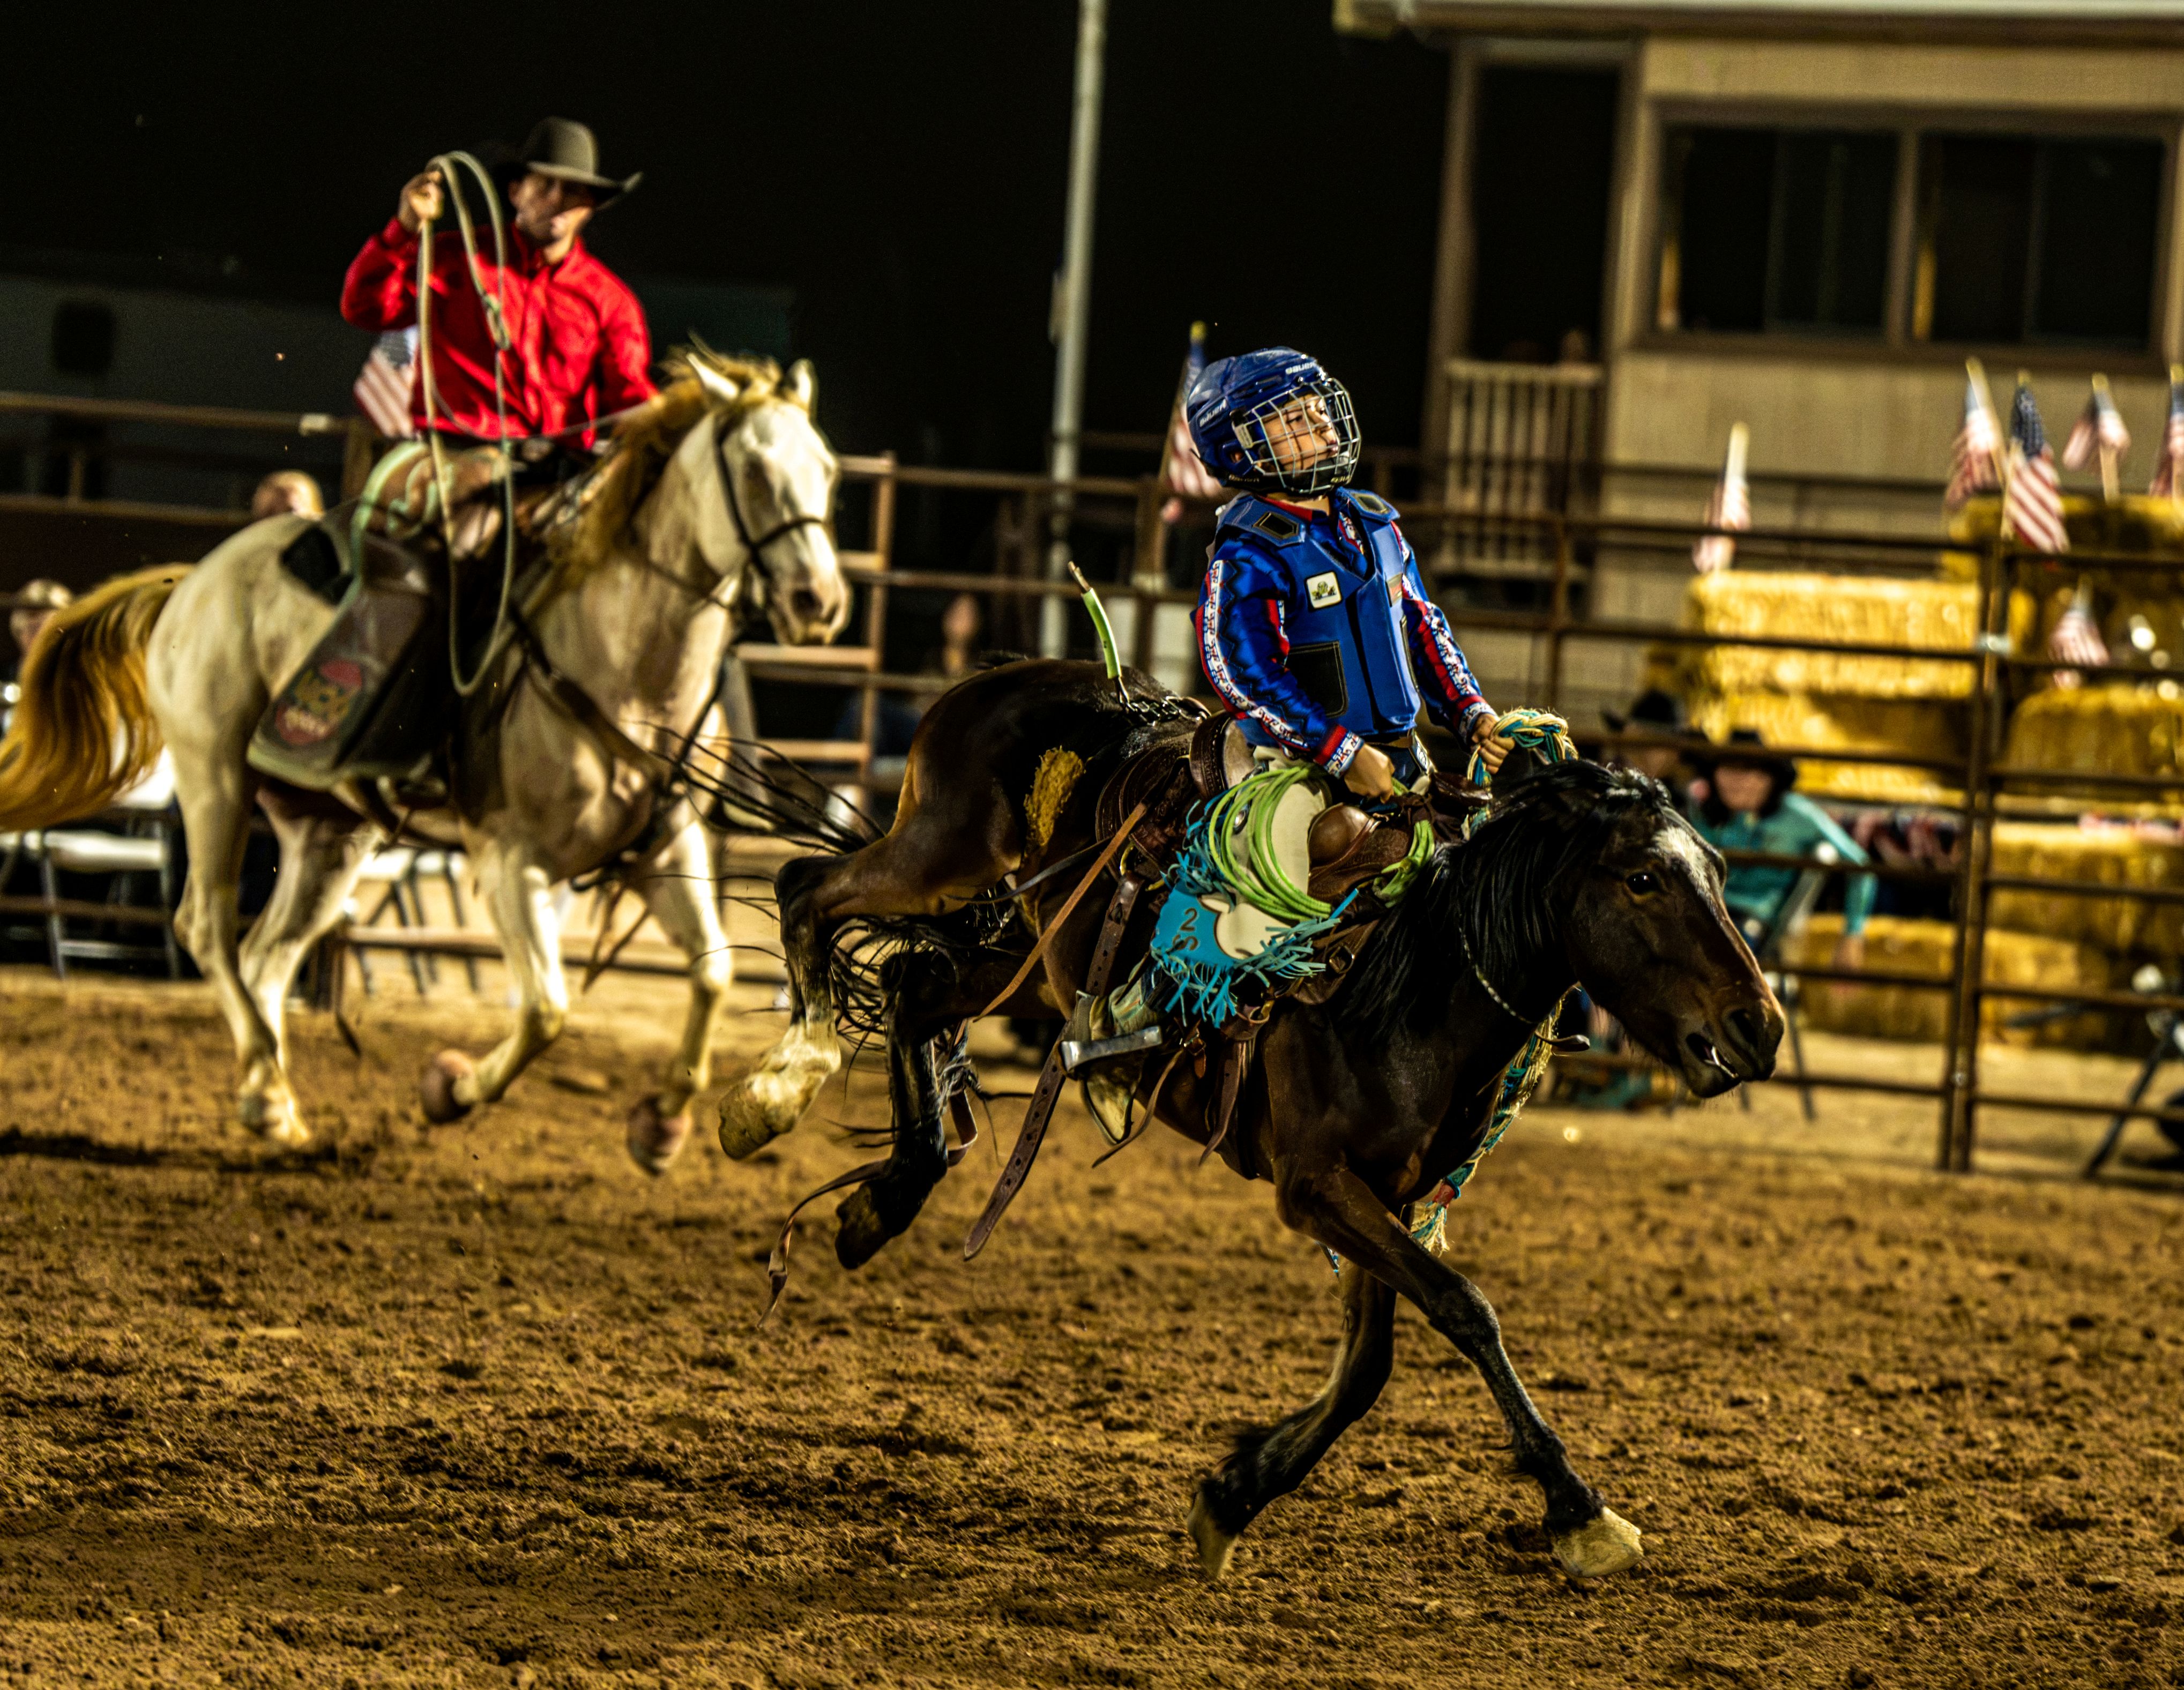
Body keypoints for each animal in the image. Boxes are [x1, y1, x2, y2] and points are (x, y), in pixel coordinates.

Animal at [0, 352, 848, 1172]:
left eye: (827, 468)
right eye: (753, 470)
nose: (819, 601)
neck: (620, 660)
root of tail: (190, 582)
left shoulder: (664, 848)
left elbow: (710, 975)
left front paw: (667, 1125)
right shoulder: (510, 859)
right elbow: (545, 1011)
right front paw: (451, 1088)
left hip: (328, 832)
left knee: (266, 956)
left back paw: (271, 1097)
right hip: (215, 780)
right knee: (207, 926)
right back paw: (269, 1094)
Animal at [720, 659, 1784, 1579]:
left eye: (1718, 868)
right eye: (1643, 878)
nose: (1760, 1025)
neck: (1414, 975)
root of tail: (1001, 677)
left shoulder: (1388, 1196)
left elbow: (1368, 1367)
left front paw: (1234, 1493)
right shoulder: (1315, 1187)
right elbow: (1464, 1309)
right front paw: (1579, 1509)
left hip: (1029, 951)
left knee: (914, 988)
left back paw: (883, 1200)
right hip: (940, 853)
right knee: (805, 889)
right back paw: (775, 1090)